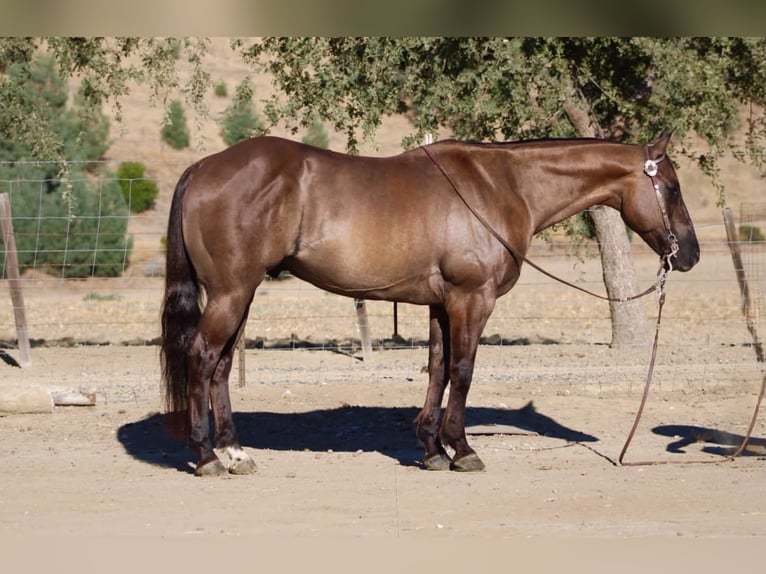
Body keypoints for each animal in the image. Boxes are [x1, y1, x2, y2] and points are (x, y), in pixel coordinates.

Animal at [161, 131, 699, 476]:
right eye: (672, 188)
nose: (689, 255)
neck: (501, 185)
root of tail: (203, 166)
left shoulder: (442, 305)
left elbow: (438, 369)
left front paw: (431, 448)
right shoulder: (472, 299)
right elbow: (462, 371)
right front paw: (462, 449)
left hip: (241, 294)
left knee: (221, 366)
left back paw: (235, 453)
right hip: (231, 293)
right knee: (201, 358)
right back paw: (207, 457)